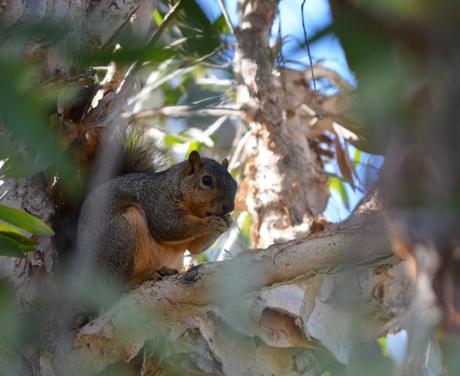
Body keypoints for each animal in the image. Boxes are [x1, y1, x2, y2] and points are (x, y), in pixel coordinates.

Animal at [75, 138, 237, 284]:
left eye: (235, 184)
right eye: (206, 180)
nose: (229, 207)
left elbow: (194, 248)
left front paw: (227, 222)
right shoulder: (159, 201)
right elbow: (167, 226)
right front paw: (211, 223)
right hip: (121, 234)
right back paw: (145, 276)